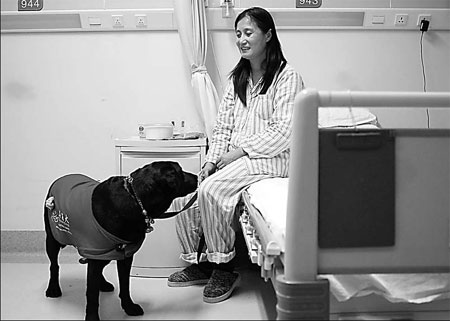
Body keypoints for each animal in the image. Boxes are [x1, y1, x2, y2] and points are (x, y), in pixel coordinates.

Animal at [44, 161, 197, 318]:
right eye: (180, 172)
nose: (197, 177)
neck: (134, 199)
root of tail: (62, 178)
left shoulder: (123, 254)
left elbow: (124, 285)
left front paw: (129, 307)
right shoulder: (96, 251)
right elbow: (92, 293)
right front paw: (92, 316)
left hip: (107, 253)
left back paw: (103, 284)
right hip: (54, 239)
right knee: (54, 265)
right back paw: (53, 288)